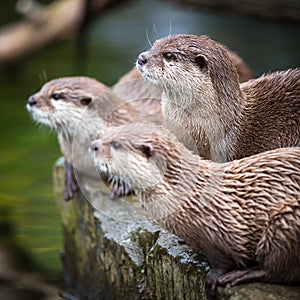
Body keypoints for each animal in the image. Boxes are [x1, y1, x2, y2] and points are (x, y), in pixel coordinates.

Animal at [90, 122, 300, 298]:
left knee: (278, 269)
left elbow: (224, 258)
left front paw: (214, 279)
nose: (93, 145)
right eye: (106, 134)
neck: (189, 196)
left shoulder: (224, 228)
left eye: (116, 144)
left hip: (287, 218)